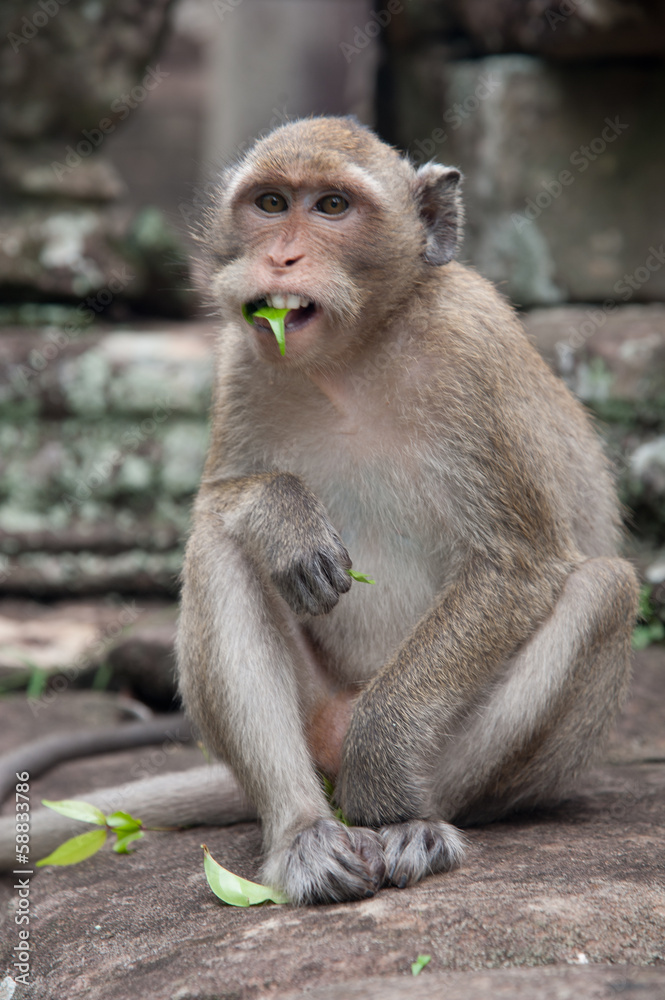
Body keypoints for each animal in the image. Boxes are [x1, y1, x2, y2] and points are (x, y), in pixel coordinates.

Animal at [174, 115, 636, 908]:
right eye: (270, 202)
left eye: (331, 206)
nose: (281, 256)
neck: (354, 355)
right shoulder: (241, 355)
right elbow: (218, 501)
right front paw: (283, 518)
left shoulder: (468, 349)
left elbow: (516, 565)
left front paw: (385, 759)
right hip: (314, 714)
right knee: (217, 545)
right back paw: (304, 834)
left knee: (605, 588)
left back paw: (404, 818)